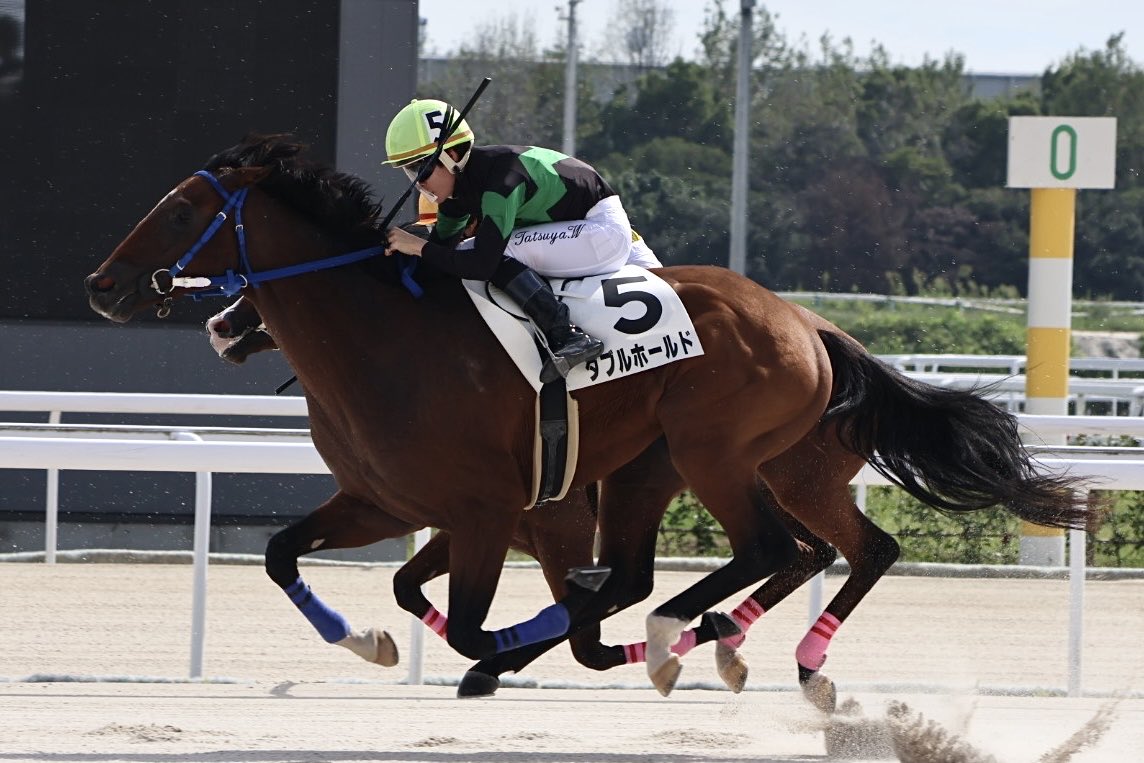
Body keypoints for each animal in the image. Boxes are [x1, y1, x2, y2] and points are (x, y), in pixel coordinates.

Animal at [86, 134, 1091, 699]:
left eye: (177, 210)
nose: (101, 285)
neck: (383, 340)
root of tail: (812, 324)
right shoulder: (391, 502)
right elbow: (297, 557)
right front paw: (367, 641)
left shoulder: (496, 508)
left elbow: (476, 613)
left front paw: (510, 649)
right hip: (692, 465)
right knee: (836, 549)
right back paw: (749, 651)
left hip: (714, 451)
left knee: (767, 550)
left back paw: (677, 640)